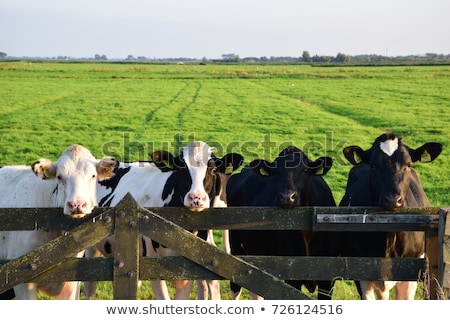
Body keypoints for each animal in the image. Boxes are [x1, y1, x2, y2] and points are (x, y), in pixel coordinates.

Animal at [227, 146, 336, 300]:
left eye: (305, 170)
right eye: (276, 172)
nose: (287, 197)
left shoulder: (328, 279)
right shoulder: (291, 275)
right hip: (236, 246)